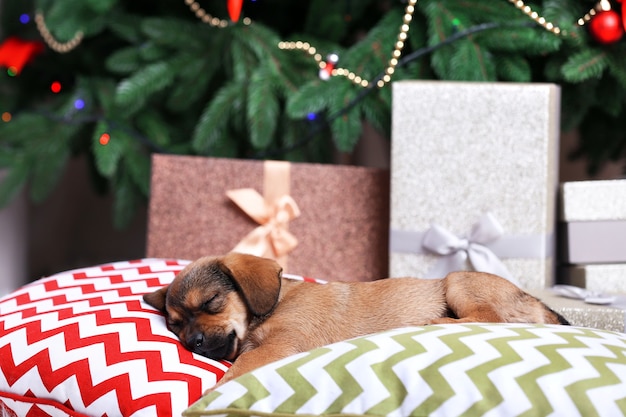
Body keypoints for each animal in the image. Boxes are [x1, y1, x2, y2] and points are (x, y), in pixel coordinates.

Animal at [144, 252, 568, 388]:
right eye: (175, 324)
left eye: (212, 302)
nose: (193, 344)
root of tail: (542, 307)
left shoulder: (282, 344)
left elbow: (239, 369)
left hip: (459, 281)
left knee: (490, 319)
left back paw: (435, 324)